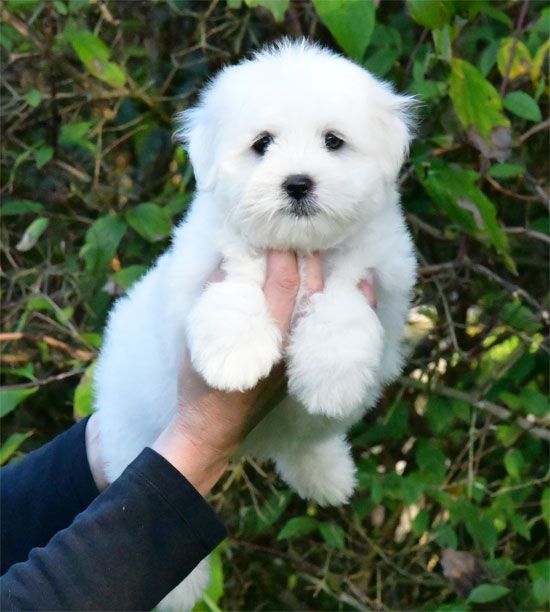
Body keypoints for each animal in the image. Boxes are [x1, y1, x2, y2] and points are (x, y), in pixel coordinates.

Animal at [95, 40, 418, 608]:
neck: (298, 249)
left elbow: (341, 309)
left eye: (333, 141)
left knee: (304, 439)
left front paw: (331, 376)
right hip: (130, 426)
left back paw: (327, 472)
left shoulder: (378, 273)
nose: (298, 183)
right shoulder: (207, 266)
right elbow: (234, 292)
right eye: (262, 144)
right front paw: (235, 359)